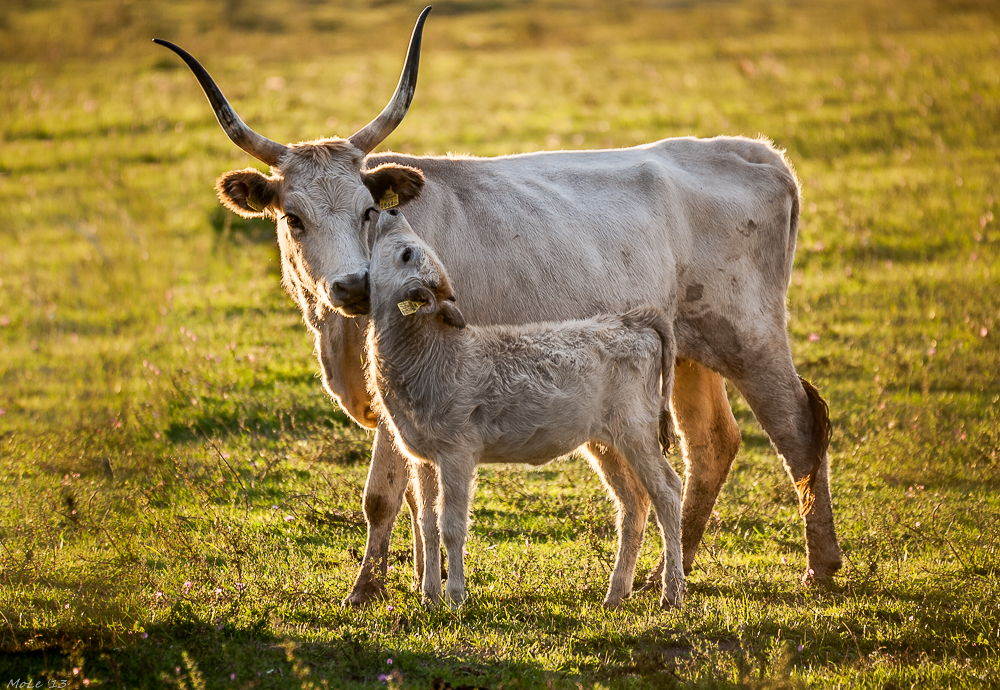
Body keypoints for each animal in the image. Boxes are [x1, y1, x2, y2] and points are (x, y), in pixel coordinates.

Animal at [368, 208, 688, 608]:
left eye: (408, 253)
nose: (392, 210)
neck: (432, 355)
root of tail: (630, 320)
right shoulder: (422, 455)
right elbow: (428, 523)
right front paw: (430, 597)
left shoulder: (457, 452)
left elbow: (452, 525)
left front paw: (455, 597)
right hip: (605, 442)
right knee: (634, 503)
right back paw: (616, 593)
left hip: (637, 431)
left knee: (667, 491)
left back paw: (672, 592)